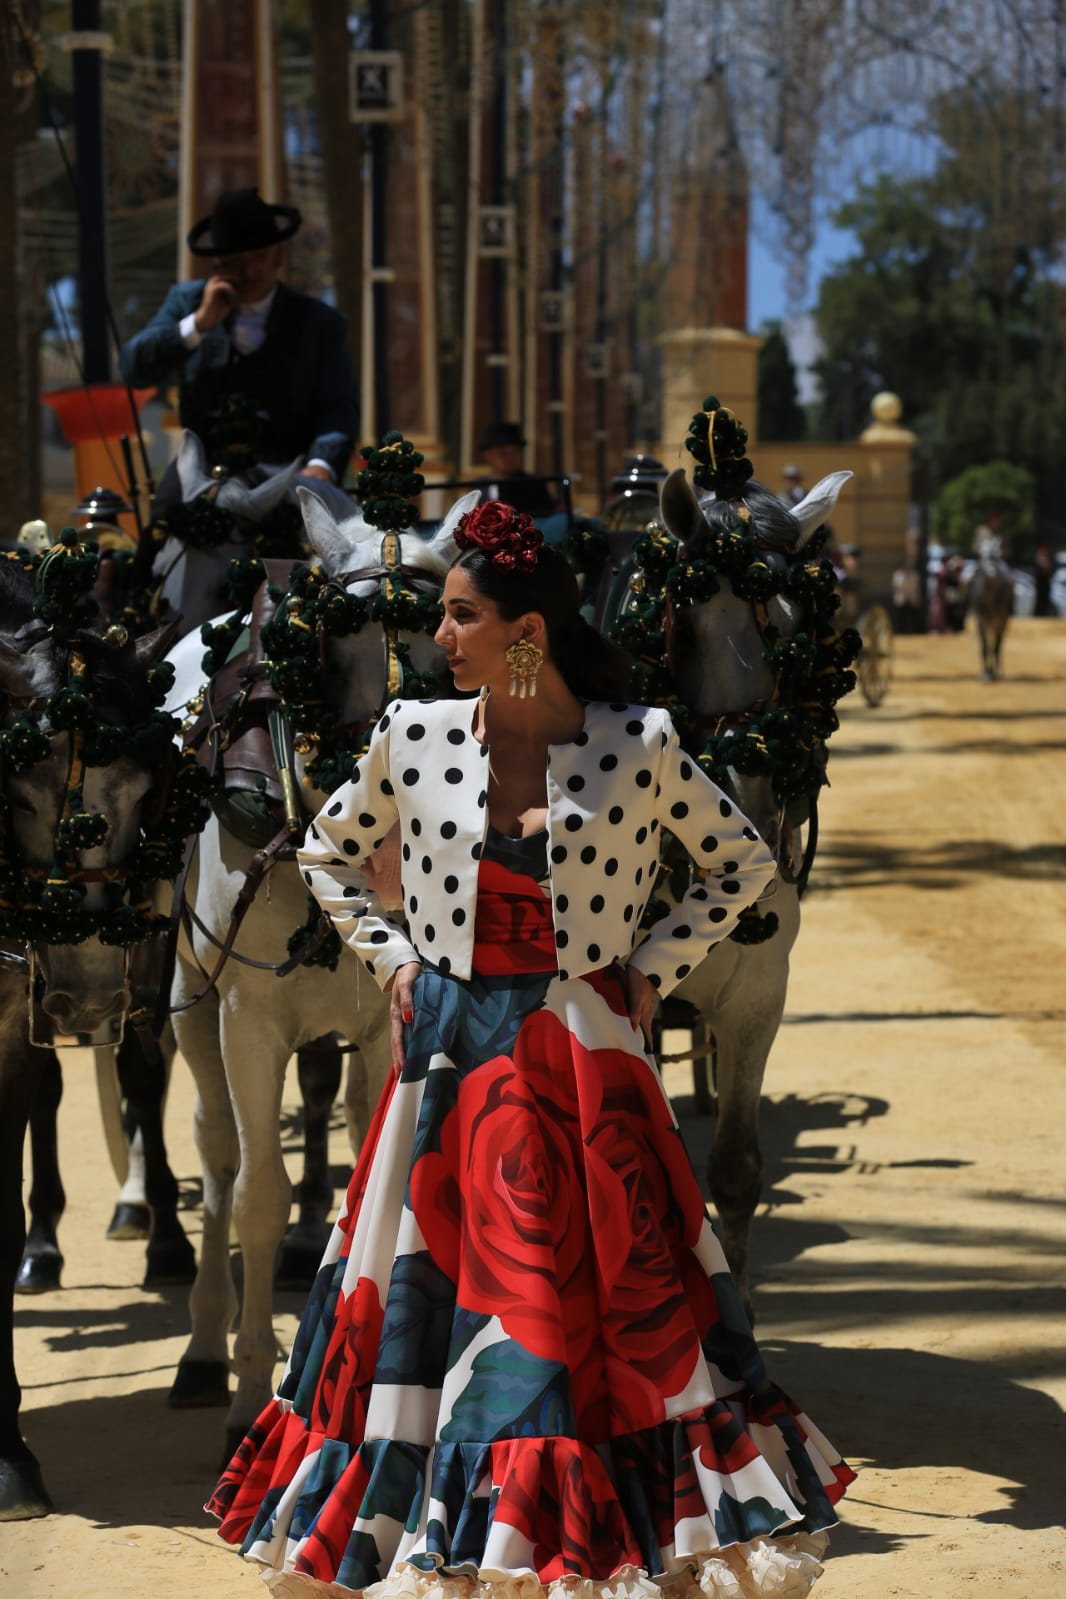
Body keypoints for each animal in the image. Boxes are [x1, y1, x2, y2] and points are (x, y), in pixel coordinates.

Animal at [165, 486, 476, 1451]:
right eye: (329, 651)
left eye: (447, 653)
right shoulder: (248, 1017)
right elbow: (260, 1196)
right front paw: (248, 1388)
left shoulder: (390, 1021)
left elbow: (380, 1181)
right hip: (192, 999)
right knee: (217, 1156)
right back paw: (204, 1344)